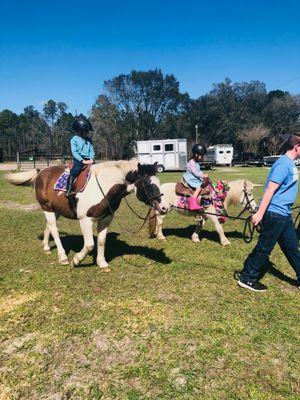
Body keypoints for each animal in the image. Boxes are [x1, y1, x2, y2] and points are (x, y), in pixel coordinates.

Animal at [5, 159, 165, 268]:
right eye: (149, 184)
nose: (163, 207)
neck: (104, 185)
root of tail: (41, 172)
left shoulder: (106, 218)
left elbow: (101, 241)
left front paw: (102, 263)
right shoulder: (85, 220)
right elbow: (89, 245)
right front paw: (76, 261)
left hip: (56, 210)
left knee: (48, 227)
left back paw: (46, 247)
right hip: (47, 208)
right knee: (54, 230)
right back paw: (63, 257)